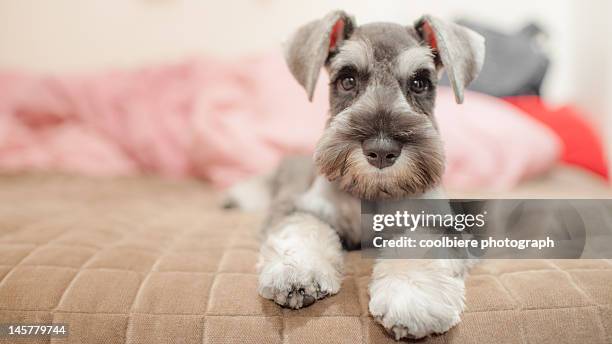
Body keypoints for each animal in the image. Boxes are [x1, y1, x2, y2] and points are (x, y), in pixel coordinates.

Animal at [228, 10, 482, 342]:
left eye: (420, 82)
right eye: (347, 80)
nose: (381, 150)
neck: (372, 193)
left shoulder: (438, 224)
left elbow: (418, 246)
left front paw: (412, 298)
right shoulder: (307, 208)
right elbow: (302, 228)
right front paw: (296, 270)